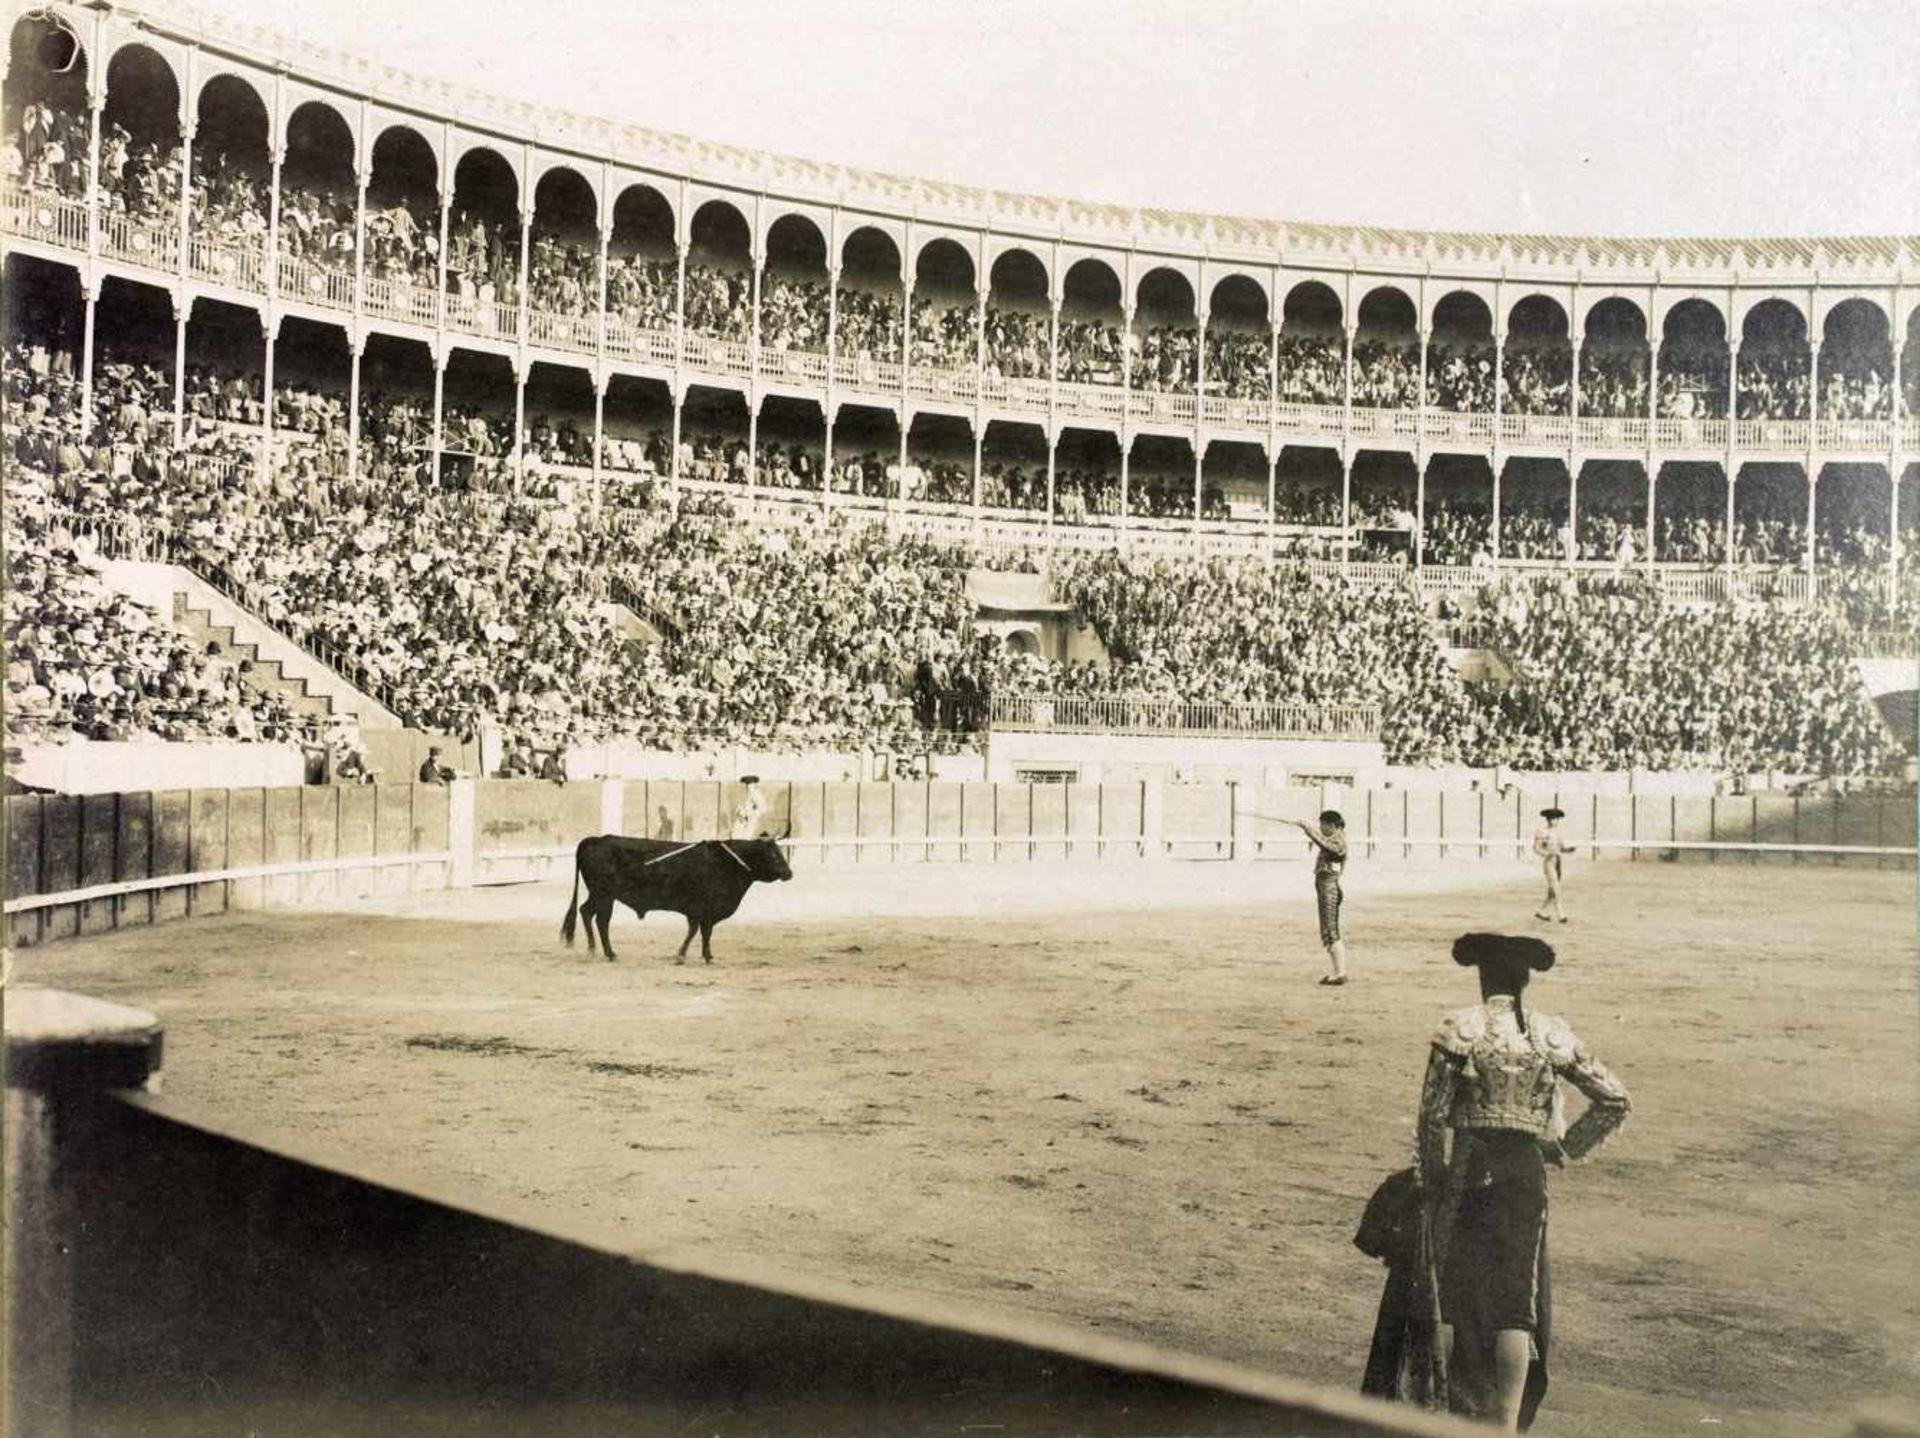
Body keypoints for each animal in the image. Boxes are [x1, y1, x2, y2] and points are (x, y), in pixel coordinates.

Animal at [560, 829, 794, 963]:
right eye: (774, 855)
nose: (789, 873)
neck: (729, 862)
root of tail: (594, 840)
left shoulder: (701, 911)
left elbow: (700, 931)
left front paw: (700, 955)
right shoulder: (701, 908)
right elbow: (699, 931)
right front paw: (689, 955)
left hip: (599, 894)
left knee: (585, 912)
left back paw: (593, 949)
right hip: (604, 895)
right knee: (601, 920)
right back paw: (609, 953)